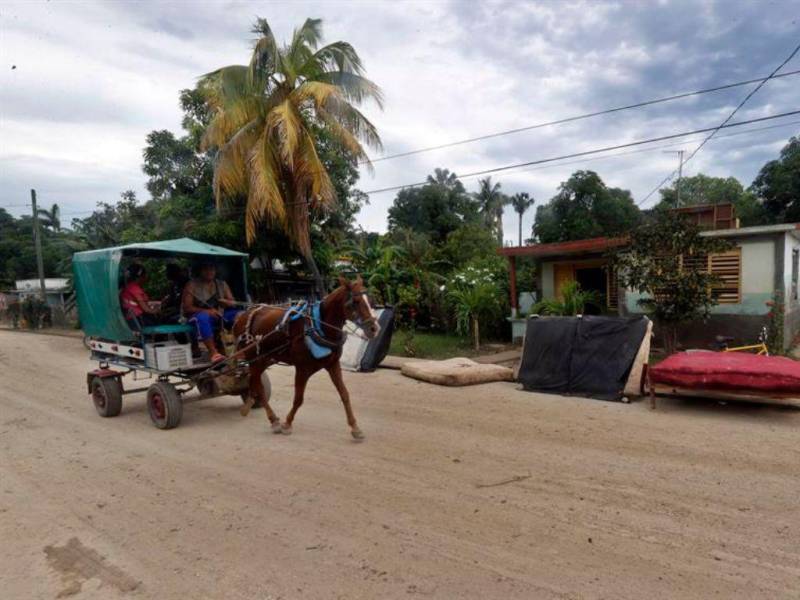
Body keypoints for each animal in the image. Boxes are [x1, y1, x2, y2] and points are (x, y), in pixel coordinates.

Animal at [231, 274, 382, 438]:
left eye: (371, 301)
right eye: (355, 302)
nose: (375, 329)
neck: (318, 326)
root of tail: (241, 316)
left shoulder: (333, 364)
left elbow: (344, 394)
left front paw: (355, 427)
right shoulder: (302, 368)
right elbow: (298, 399)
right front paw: (287, 423)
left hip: (264, 358)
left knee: (254, 381)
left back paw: (249, 405)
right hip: (254, 357)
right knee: (258, 386)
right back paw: (273, 420)